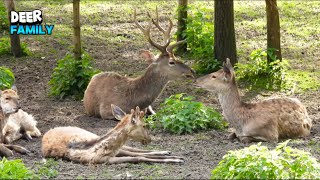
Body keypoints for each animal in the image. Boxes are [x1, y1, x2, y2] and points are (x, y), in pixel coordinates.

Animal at [41, 104, 184, 165]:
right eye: (144, 125)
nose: (149, 139)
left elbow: (135, 154)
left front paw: (175, 157)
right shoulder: (104, 160)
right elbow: (137, 157)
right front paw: (176, 159)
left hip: (89, 133)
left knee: (131, 148)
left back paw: (166, 151)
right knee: (132, 151)